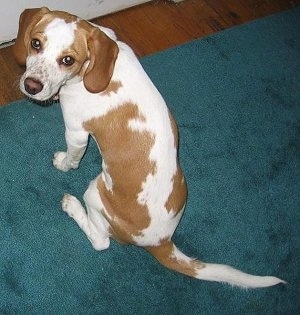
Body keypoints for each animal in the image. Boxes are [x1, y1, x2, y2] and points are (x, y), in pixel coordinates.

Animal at [12, 7, 284, 288]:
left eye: (68, 60)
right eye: (35, 43)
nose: (31, 86)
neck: (97, 68)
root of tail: (161, 241)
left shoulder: (76, 133)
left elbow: (71, 160)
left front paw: (62, 163)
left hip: (94, 192)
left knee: (100, 241)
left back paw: (72, 206)